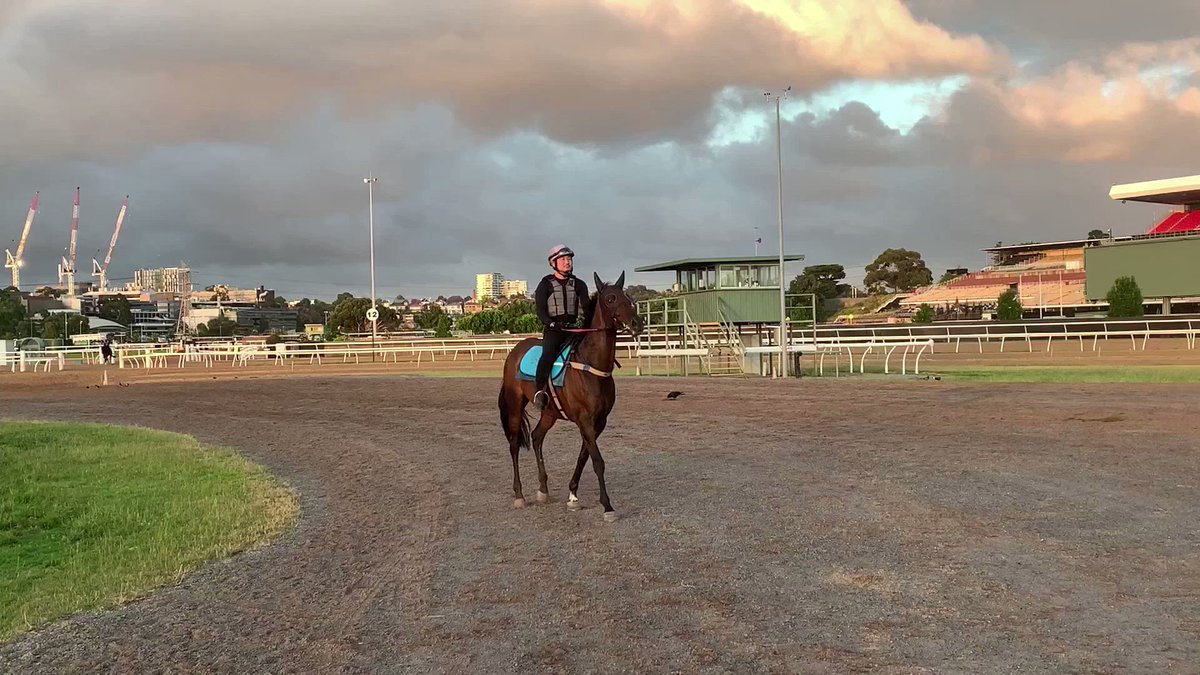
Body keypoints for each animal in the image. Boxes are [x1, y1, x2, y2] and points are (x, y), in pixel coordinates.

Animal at [496, 271, 648, 521]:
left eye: (628, 298)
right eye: (610, 299)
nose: (637, 323)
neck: (591, 365)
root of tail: (515, 352)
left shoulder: (599, 422)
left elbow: (583, 457)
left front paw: (573, 496)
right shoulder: (584, 420)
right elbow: (597, 461)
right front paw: (607, 506)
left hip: (549, 412)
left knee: (536, 437)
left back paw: (543, 490)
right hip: (515, 404)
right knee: (514, 444)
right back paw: (519, 495)